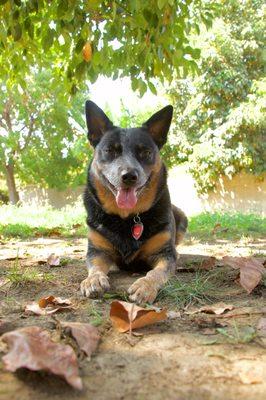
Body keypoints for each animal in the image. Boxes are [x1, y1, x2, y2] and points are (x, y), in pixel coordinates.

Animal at [81, 100, 187, 304]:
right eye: (109, 150)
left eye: (145, 152)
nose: (129, 175)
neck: (127, 217)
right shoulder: (97, 250)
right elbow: (95, 267)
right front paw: (93, 280)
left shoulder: (165, 254)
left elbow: (156, 273)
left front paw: (145, 286)